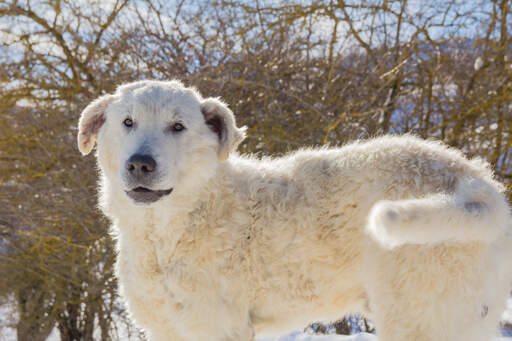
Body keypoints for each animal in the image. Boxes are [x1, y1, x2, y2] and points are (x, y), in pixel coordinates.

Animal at [77, 80, 512, 340]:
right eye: (127, 122)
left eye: (178, 127)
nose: (140, 164)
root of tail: (473, 183)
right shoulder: (169, 329)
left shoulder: (220, 327)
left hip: (423, 315)